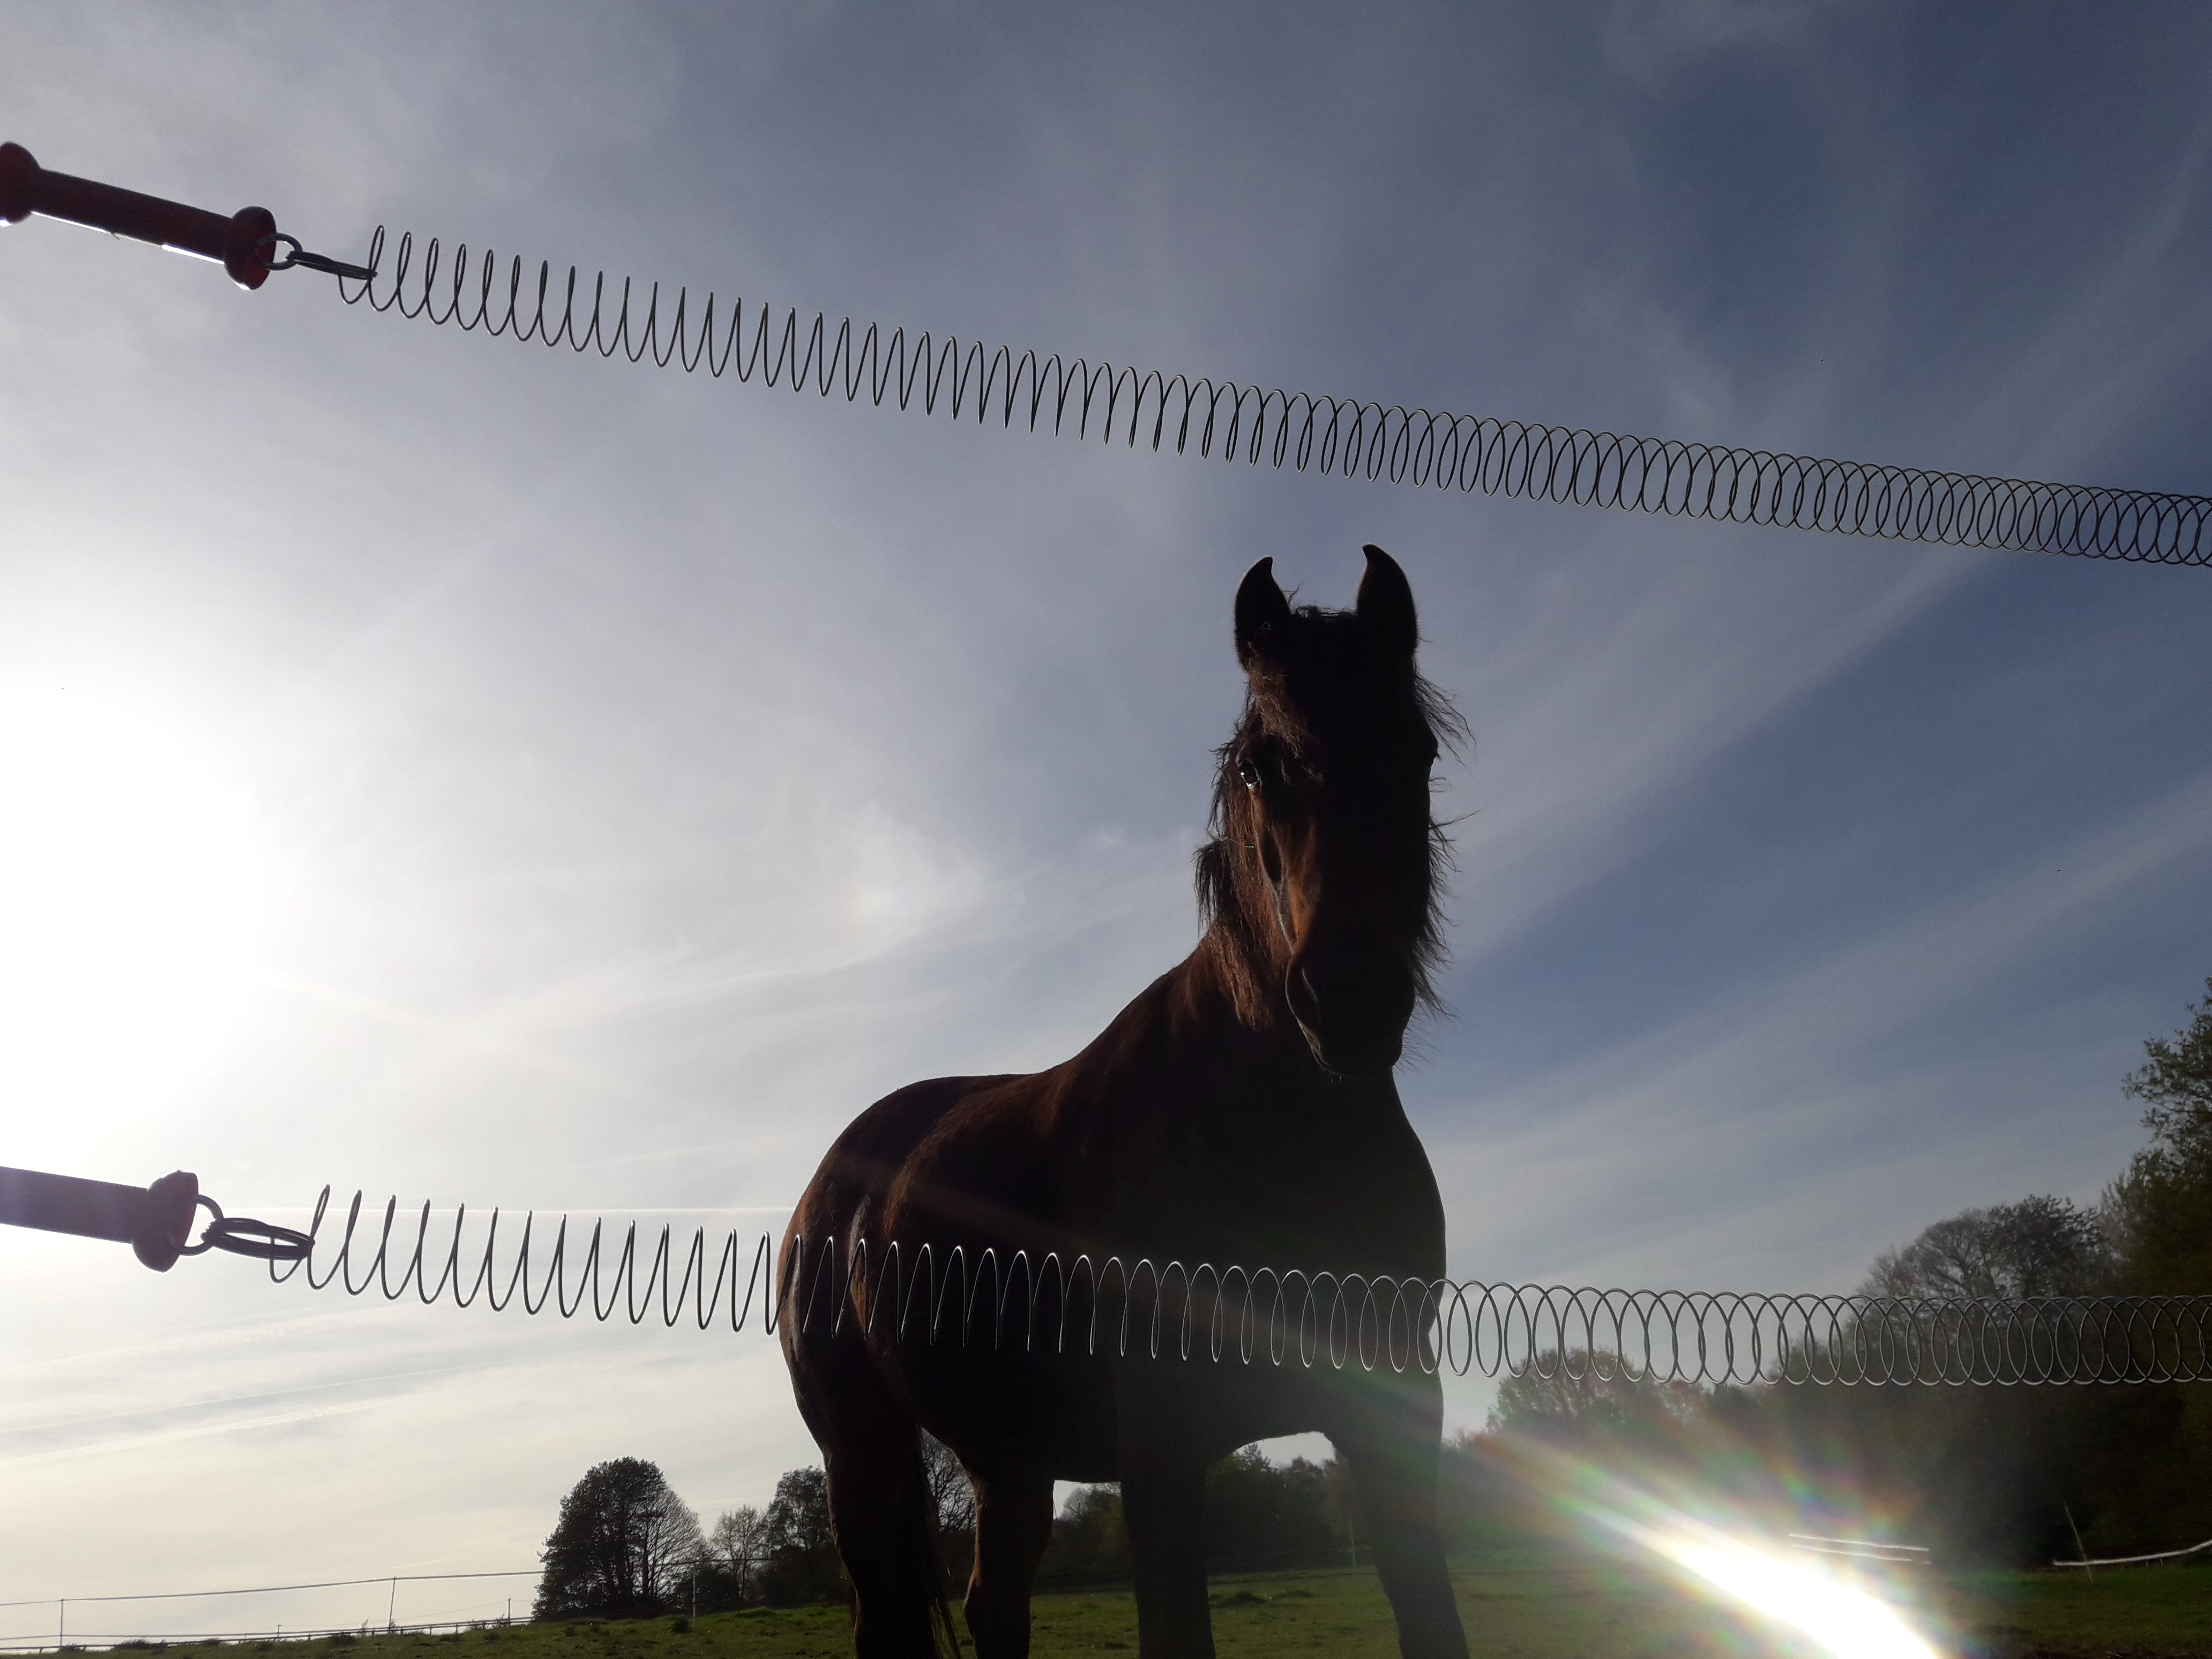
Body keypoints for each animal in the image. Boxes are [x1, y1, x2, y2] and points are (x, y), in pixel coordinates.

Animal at [779, 548, 1468, 1659]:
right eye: (1257, 767)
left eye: (1419, 748)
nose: (1348, 999)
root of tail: (828, 1183)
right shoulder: (1160, 1443)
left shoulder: (1390, 1408)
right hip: (862, 1455)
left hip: (1004, 1457)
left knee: (994, 1602)